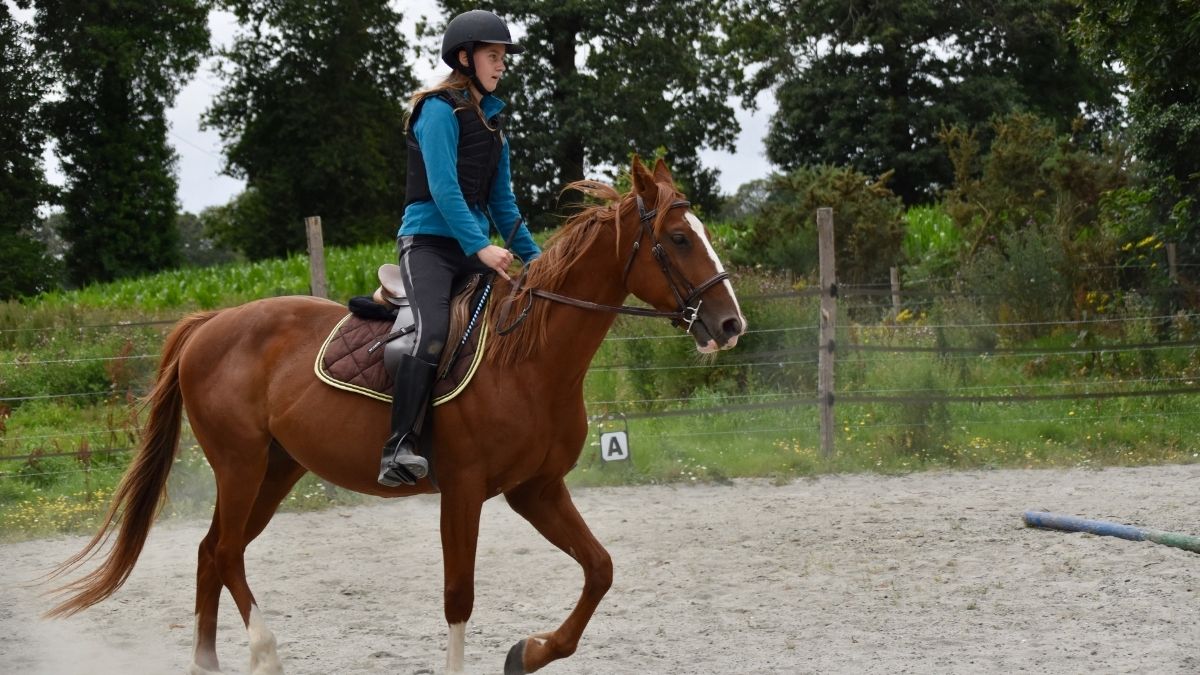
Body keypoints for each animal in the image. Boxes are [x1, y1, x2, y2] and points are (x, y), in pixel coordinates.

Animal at [45, 157, 746, 674]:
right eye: (679, 239)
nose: (729, 325)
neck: (528, 357)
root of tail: (211, 322)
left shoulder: (536, 490)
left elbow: (599, 569)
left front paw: (529, 651)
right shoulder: (463, 492)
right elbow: (459, 596)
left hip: (275, 469)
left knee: (214, 551)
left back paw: (208, 662)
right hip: (240, 466)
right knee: (223, 552)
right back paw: (264, 651)